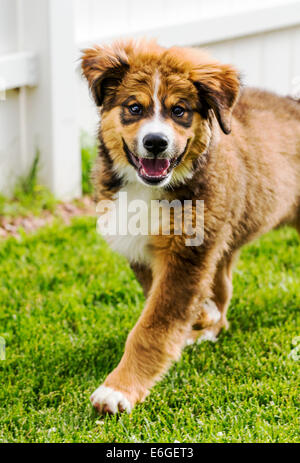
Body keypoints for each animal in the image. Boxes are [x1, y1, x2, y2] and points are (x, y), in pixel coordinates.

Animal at [80, 40, 300, 416]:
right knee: (223, 284)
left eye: (179, 111)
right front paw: (202, 320)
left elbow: (152, 327)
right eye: (134, 108)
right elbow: (164, 305)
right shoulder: (149, 248)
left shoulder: (188, 255)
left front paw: (118, 390)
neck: (151, 189)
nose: (155, 142)